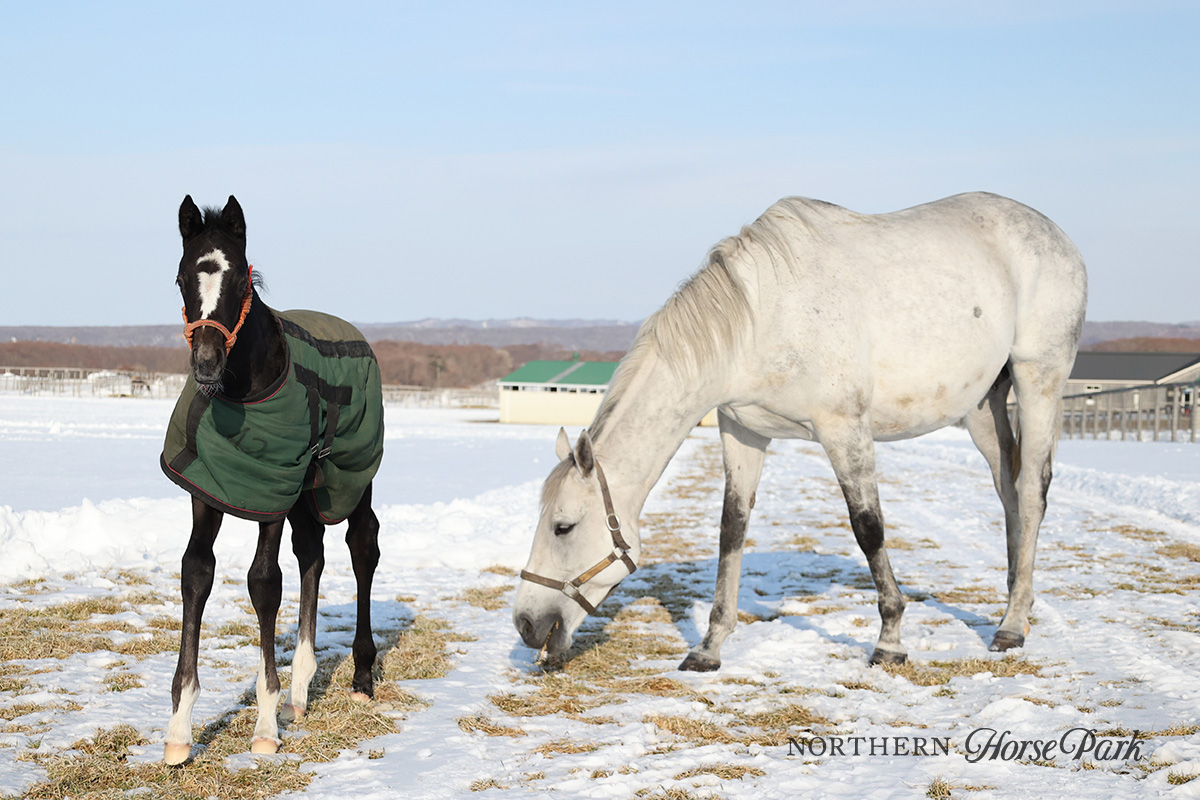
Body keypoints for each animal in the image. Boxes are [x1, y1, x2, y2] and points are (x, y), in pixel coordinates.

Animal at [516, 191, 1089, 671]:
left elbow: (868, 528)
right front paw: (709, 646)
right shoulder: (741, 431)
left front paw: (890, 640)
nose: (525, 624)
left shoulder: (844, 429)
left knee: (1031, 491)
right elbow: (732, 529)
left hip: (1038, 381)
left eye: (563, 527)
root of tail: (1059, 237)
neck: (760, 320)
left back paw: (1013, 626)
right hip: (982, 406)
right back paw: (1015, 602)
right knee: (1009, 491)